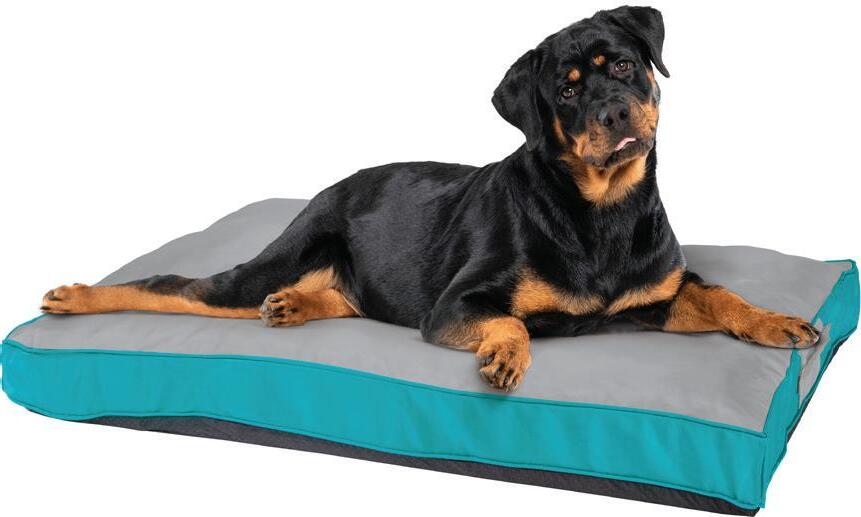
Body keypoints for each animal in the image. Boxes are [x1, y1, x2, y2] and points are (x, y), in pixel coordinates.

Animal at [41, 6, 819, 391]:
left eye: (623, 65)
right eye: (566, 90)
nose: (614, 114)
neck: (603, 210)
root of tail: (331, 186)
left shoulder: (656, 297)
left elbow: (719, 296)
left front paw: (778, 321)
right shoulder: (454, 306)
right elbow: (508, 320)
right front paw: (505, 354)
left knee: (337, 296)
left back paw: (294, 305)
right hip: (272, 257)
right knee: (174, 286)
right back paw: (75, 296)